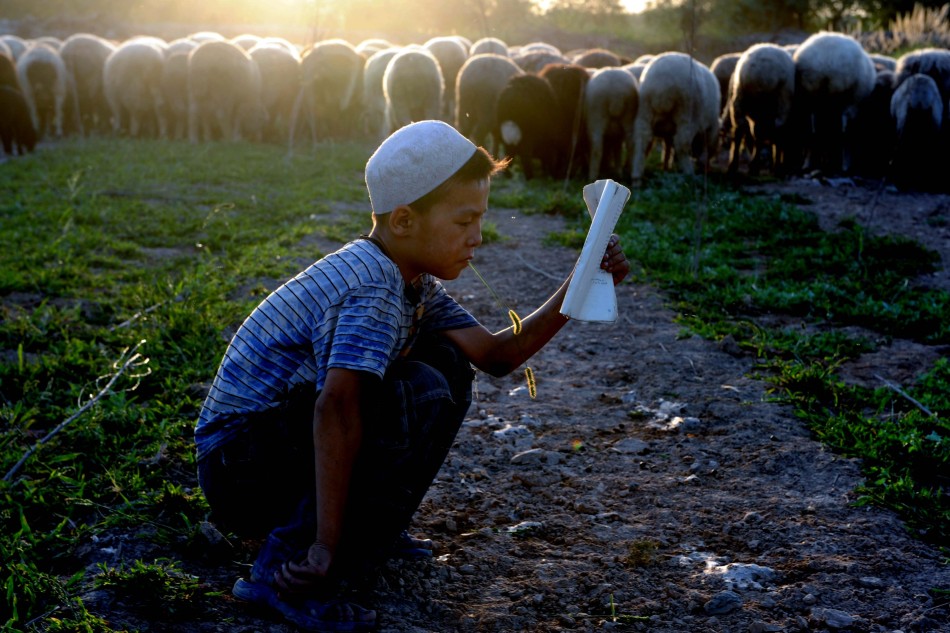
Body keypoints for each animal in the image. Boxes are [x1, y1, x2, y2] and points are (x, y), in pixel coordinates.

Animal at [632, 51, 720, 180]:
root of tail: (661, 85)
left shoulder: (667, 130)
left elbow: (668, 145)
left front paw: (666, 166)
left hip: (644, 109)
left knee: (642, 139)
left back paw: (636, 176)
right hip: (687, 112)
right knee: (681, 144)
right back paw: (689, 173)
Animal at [724, 43, 800, 174]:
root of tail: (761, 72)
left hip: (742, 100)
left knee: (745, 130)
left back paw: (739, 165)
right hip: (778, 103)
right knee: (769, 131)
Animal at [796, 32, 876, 173]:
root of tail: (828, 61)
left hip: (811, 98)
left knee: (813, 131)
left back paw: (809, 163)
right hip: (846, 99)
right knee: (844, 132)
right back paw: (845, 165)